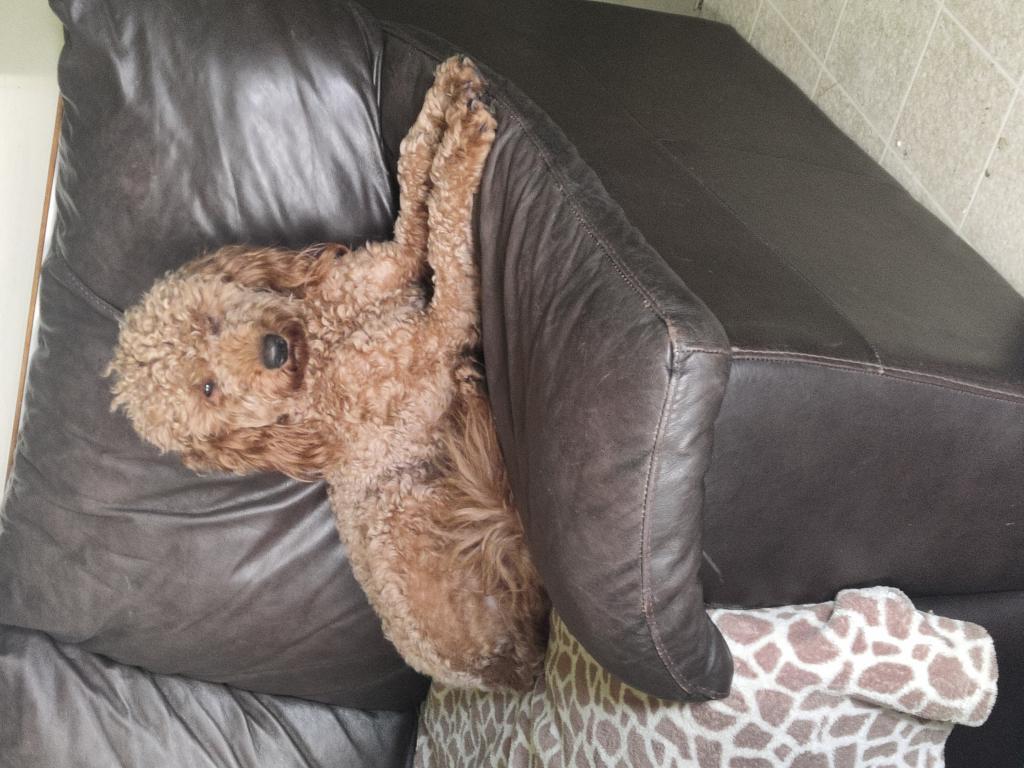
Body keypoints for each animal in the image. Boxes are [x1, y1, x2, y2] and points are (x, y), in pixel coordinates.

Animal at [107, 57, 548, 691]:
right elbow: (445, 236)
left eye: (209, 322)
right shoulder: (439, 330)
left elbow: (412, 176)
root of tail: (501, 671)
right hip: (402, 504)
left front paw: (447, 97)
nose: (271, 350)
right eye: (208, 391)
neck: (322, 342)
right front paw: (465, 144)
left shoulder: (391, 265)